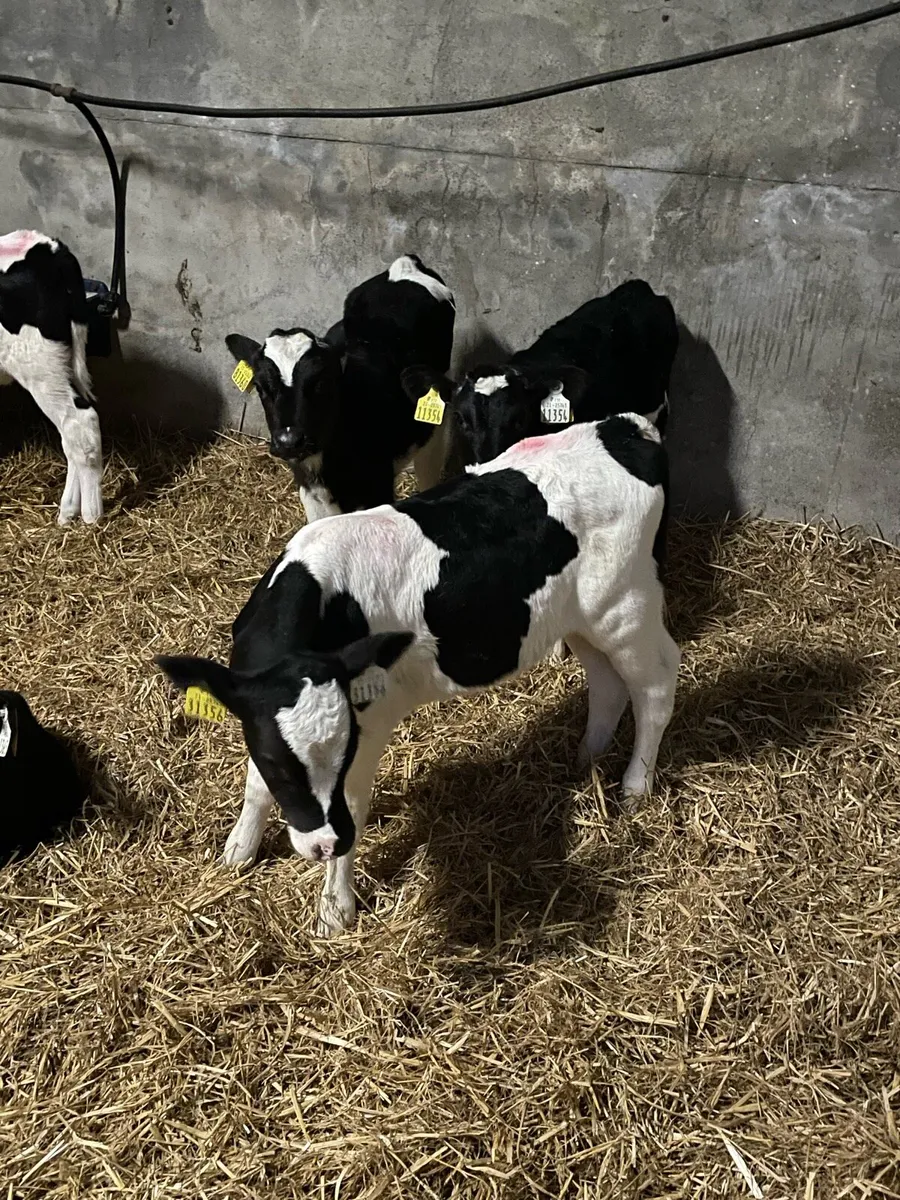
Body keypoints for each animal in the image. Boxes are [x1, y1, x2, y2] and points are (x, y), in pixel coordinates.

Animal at [0, 231, 103, 524]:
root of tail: (50, 248)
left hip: (39, 367)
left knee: (79, 424)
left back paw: (91, 515)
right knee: (71, 436)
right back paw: (69, 511)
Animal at [157, 413, 680, 937]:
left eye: (343, 749)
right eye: (277, 759)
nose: (326, 844)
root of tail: (626, 426)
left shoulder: (370, 721)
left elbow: (354, 801)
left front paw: (335, 908)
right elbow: (255, 782)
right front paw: (239, 848)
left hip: (627, 608)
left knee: (656, 684)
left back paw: (635, 786)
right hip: (579, 619)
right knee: (606, 682)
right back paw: (586, 757)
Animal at [225, 254, 456, 524]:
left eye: (321, 382)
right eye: (261, 388)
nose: (289, 441)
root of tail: (404, 264)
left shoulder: (378, 486)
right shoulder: (310, 490)